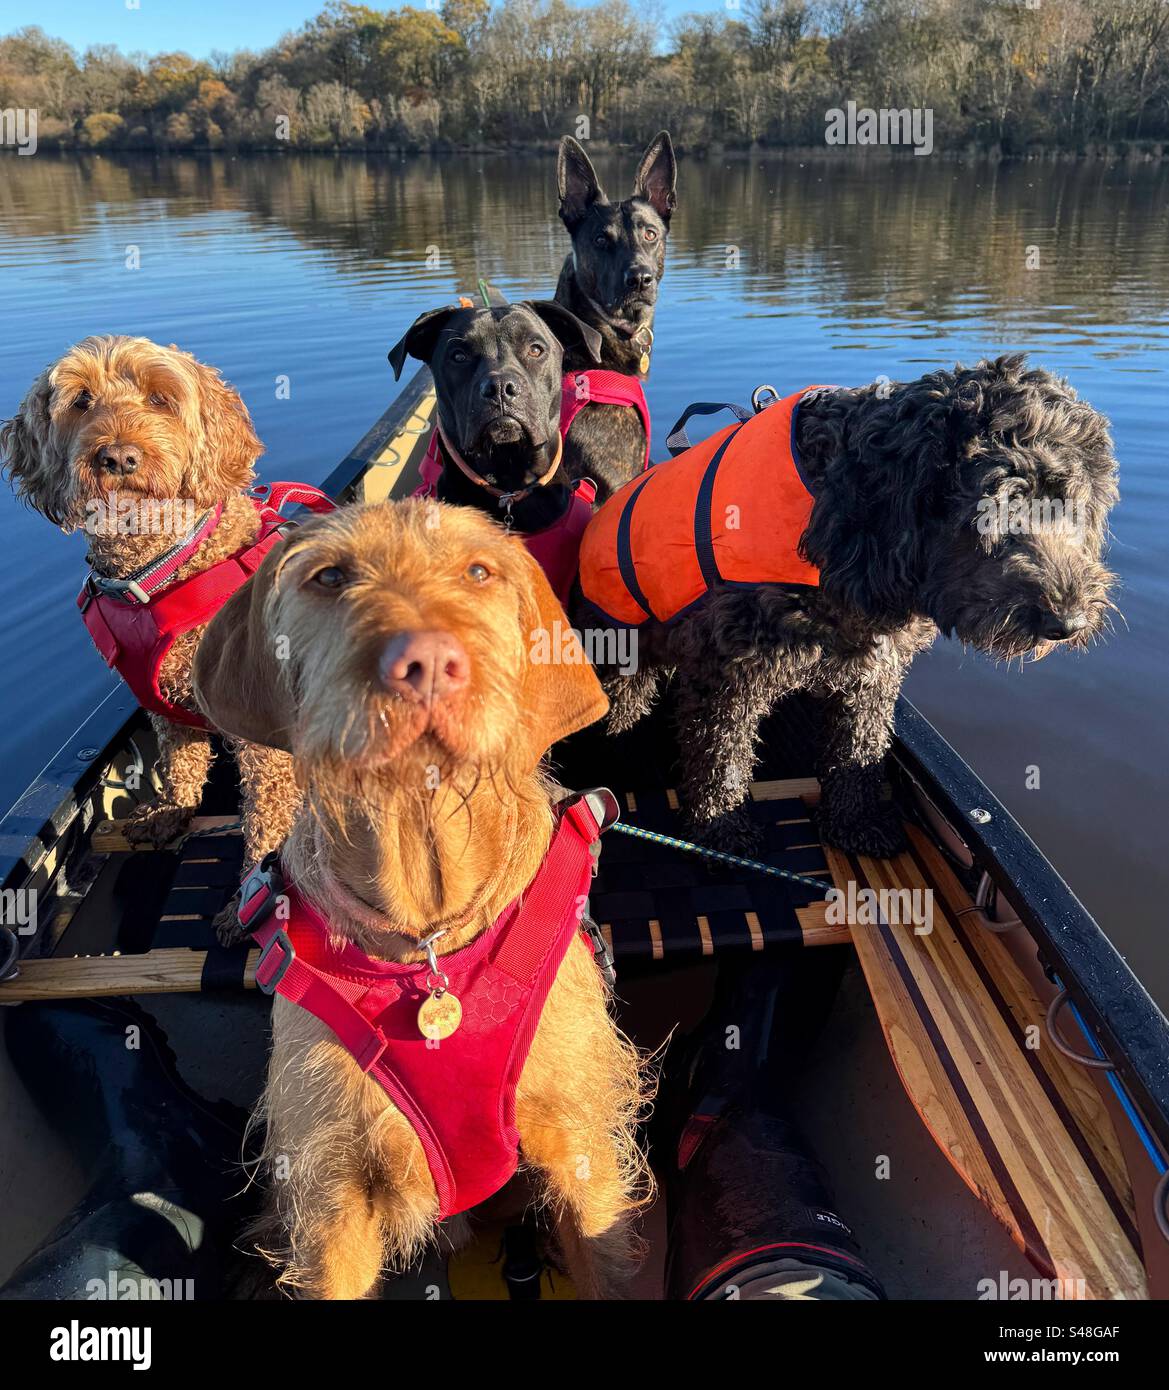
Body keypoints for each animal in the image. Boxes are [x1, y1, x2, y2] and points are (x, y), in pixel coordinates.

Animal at [2, 333, 301, 867]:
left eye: (161, 399)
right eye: (81, 400)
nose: (119, 457)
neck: (155, 573)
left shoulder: (263, 743)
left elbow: (267, 821)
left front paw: (254, 883)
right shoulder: (167, 710)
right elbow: (181, 767)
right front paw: (169, 812)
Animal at [191, 503, 647, 1301]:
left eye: (479, 571)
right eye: (329, 577)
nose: (428, 661)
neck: (426, 934)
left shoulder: (581, 1147)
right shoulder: (332, 1200)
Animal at [589, 355, 1117, 856]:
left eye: (1072, 504)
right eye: (995, 507)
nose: (1068, 621)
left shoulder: (874, 668)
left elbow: (858, 750)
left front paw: (854, 824)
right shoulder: (727, 675)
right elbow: (721, 757)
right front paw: (720, 831)